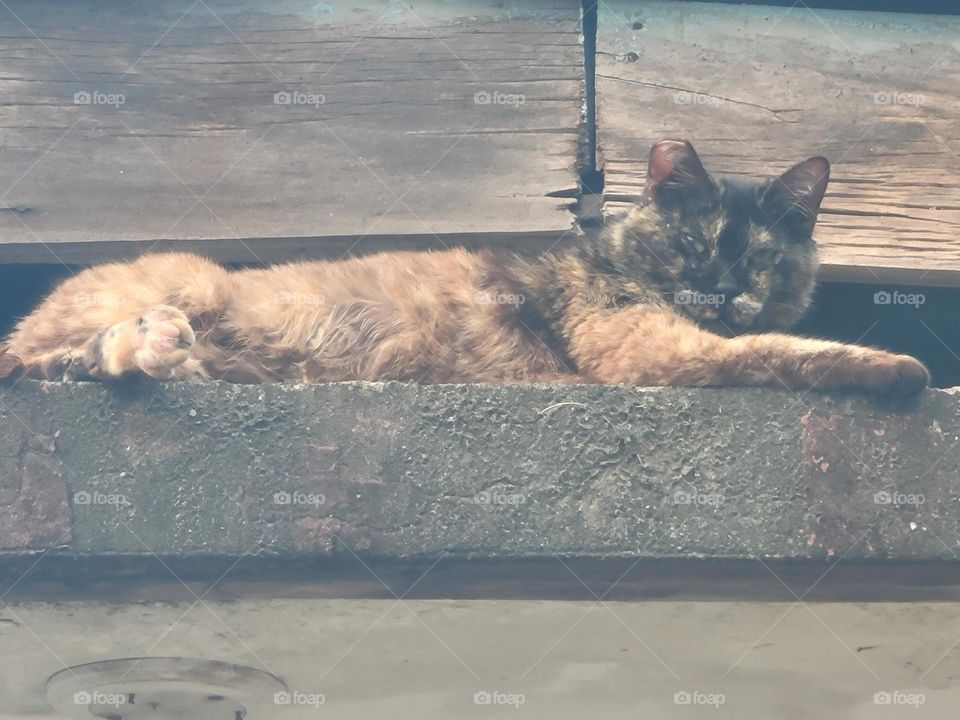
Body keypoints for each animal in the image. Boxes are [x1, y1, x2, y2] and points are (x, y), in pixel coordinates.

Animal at [0, 138, 928, 396]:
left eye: (763, 258)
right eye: (696, 245)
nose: (727, 292)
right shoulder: (651, 351)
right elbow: (785, 355)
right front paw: (903, 371)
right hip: (191, 275)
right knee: (45, 359)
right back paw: (152, 344)